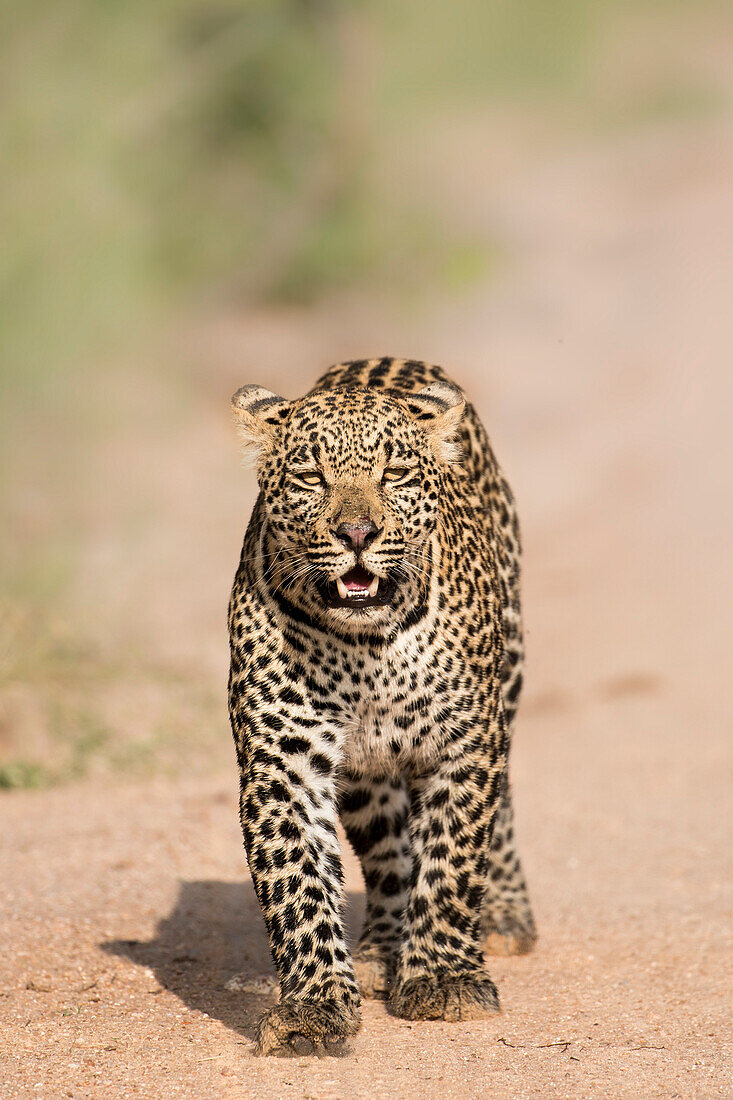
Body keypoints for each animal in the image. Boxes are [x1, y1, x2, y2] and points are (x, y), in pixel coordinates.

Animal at [225, 354, 534, 1056]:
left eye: (394, 474)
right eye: (311, 477)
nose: (357, 533)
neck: (367, 647)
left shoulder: (464, 745)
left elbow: (451, 860)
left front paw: (444, 979)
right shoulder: (284, 762)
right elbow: (299, 880)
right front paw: (313, 1008)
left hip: (508, 684)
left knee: (501, 810)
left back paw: (505, 915)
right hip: (367, 775)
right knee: (389, 853)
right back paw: (380, 950)